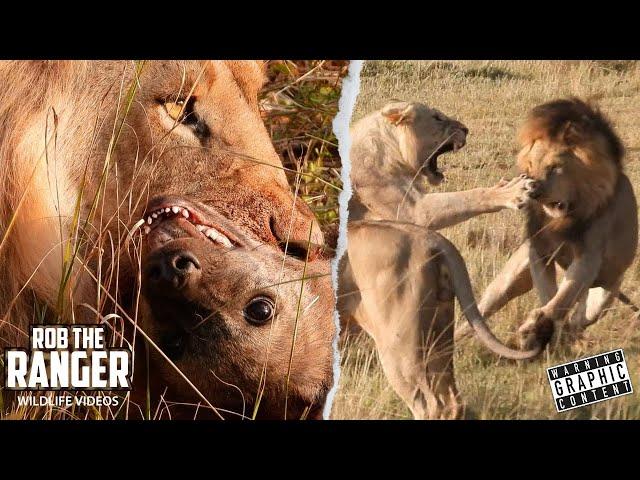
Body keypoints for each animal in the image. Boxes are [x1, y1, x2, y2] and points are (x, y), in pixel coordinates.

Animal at [338, 101, 544, 420]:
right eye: (437, 118)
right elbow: (465, 198)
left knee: (439, 401)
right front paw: (511, 191)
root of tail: (438, 244)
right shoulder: (412, 209)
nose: (466, 129)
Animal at [468, 97, 636, 350]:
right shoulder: (538, 251)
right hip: (507, 282)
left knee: (581, 317)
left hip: (606, 289)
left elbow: (563, 298)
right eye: (530, 165)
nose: (534, 191)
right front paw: (538, 328)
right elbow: (549, 294)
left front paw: (537, 328)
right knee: (481, 310)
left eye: (555, 167)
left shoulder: (589, 258)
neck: (561, 220)